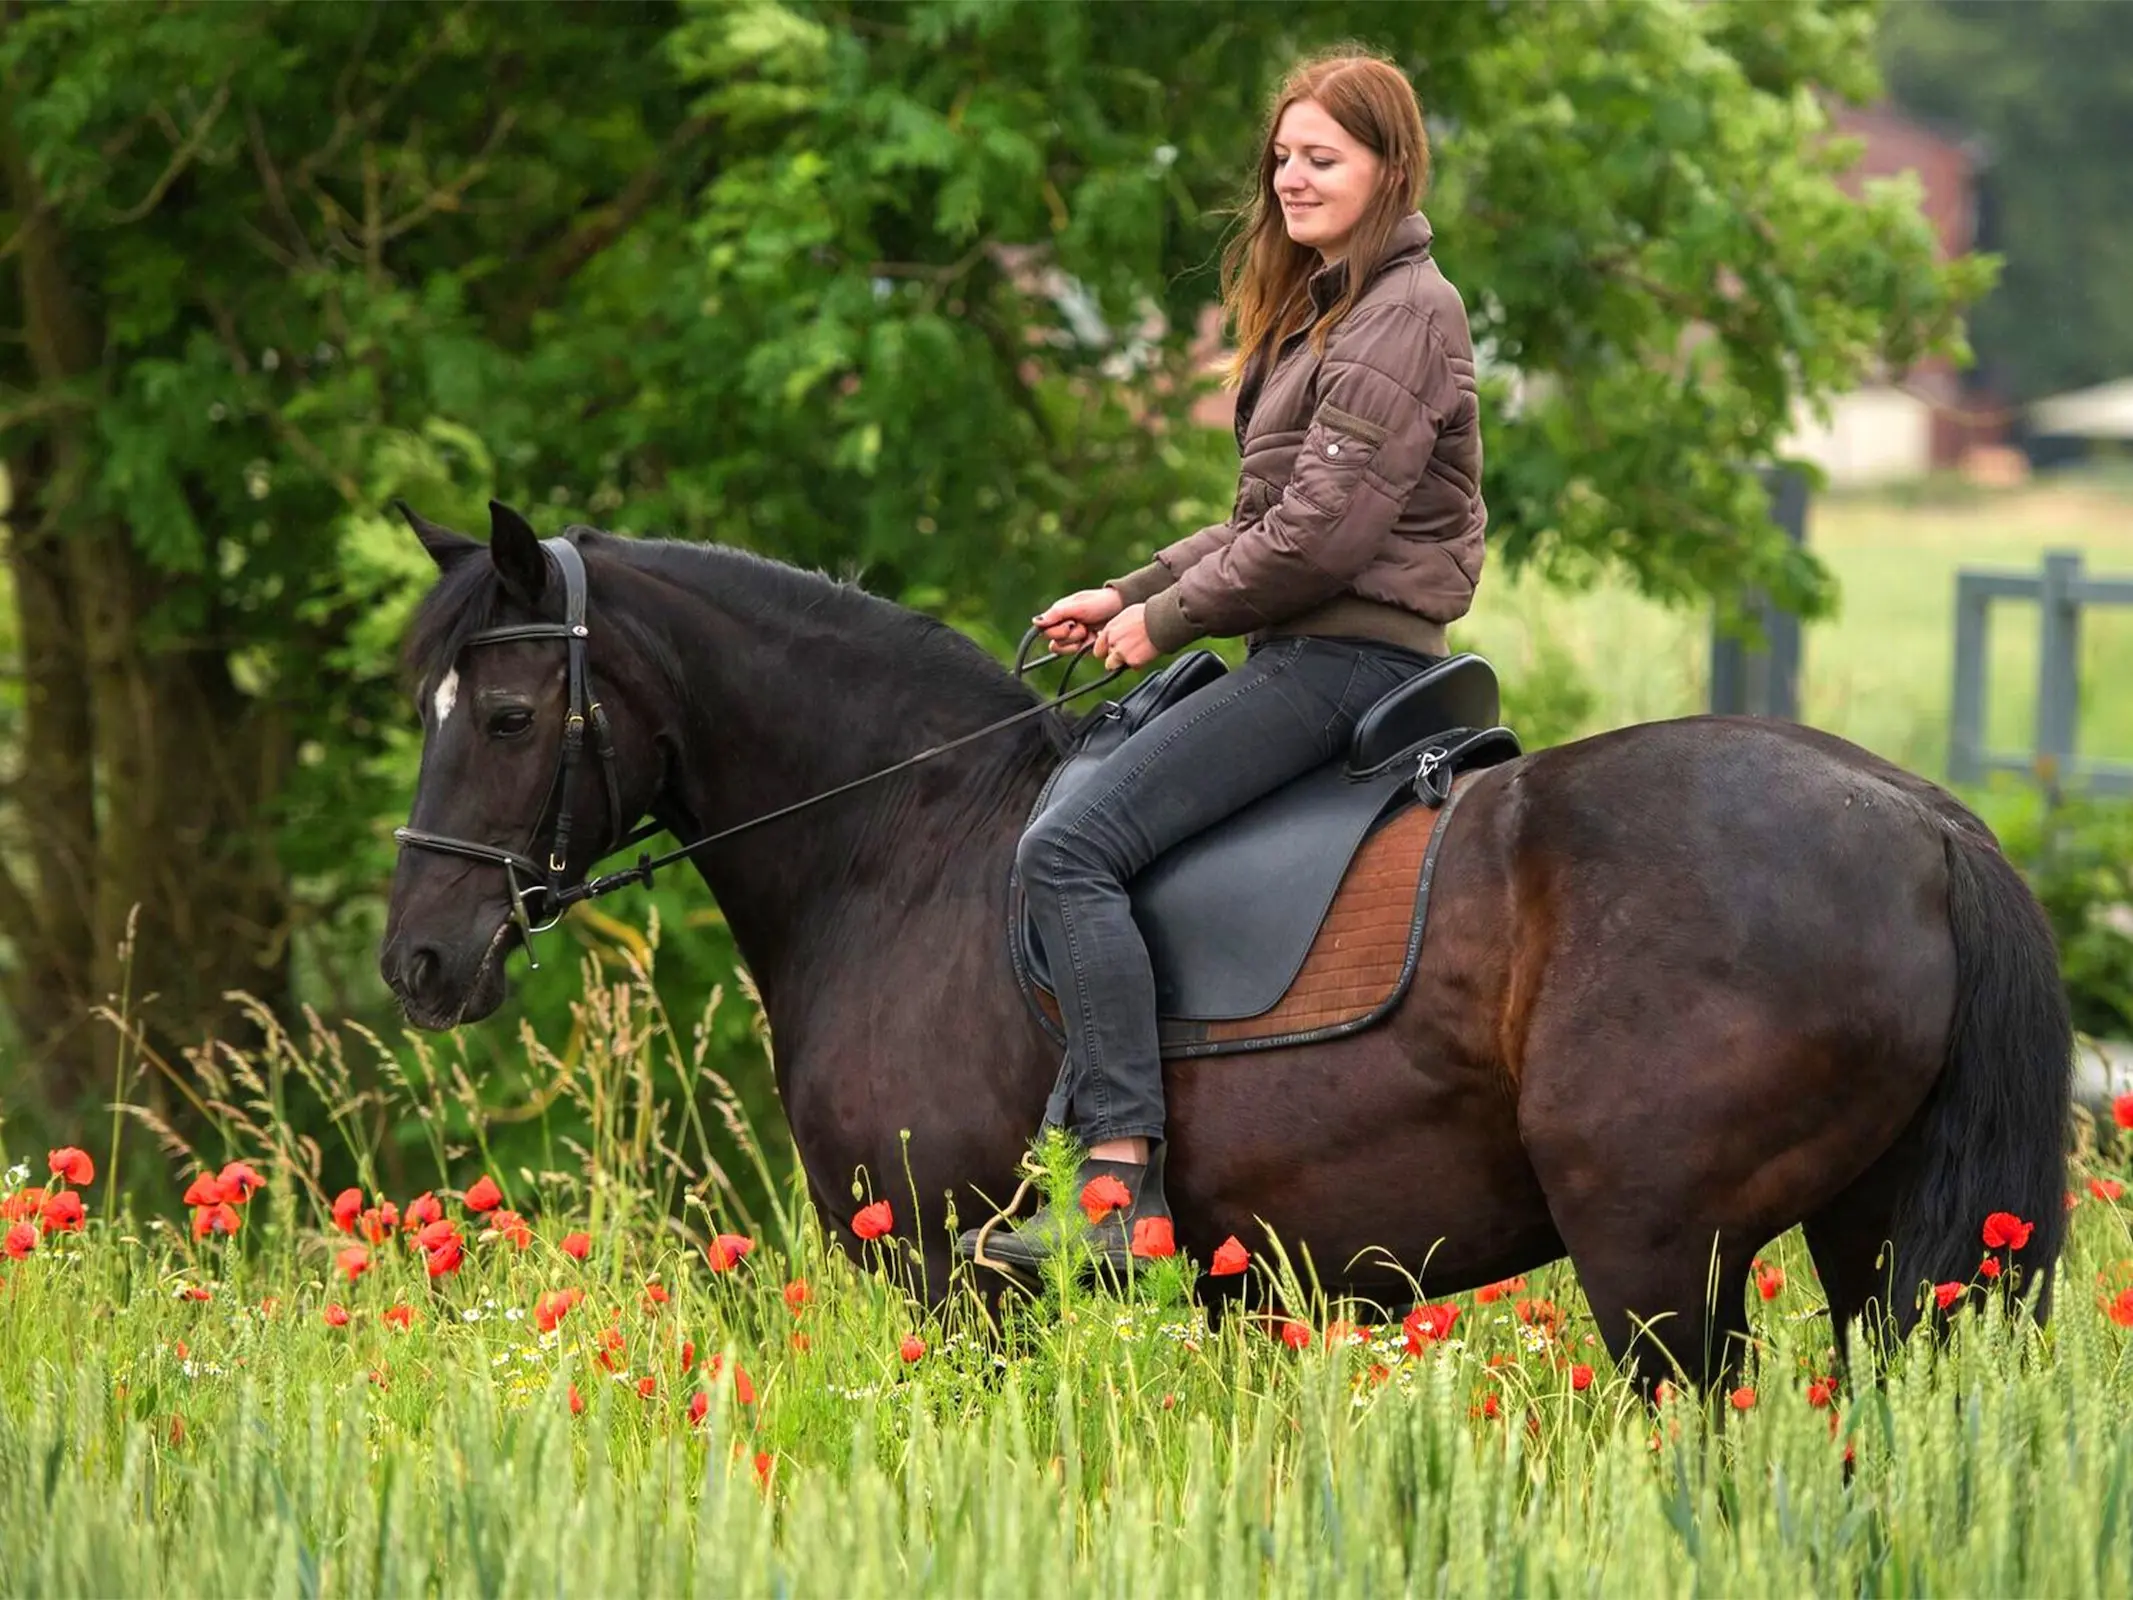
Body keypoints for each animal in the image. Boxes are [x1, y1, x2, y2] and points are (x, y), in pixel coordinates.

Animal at [379, 503, 2064, 1390]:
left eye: (511, 716)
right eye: (429, 705)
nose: (420, 964)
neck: (912, 840)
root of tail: (1923, 820)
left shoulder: (954, 1283)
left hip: (1657, 1255)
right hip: (1867, 1241)